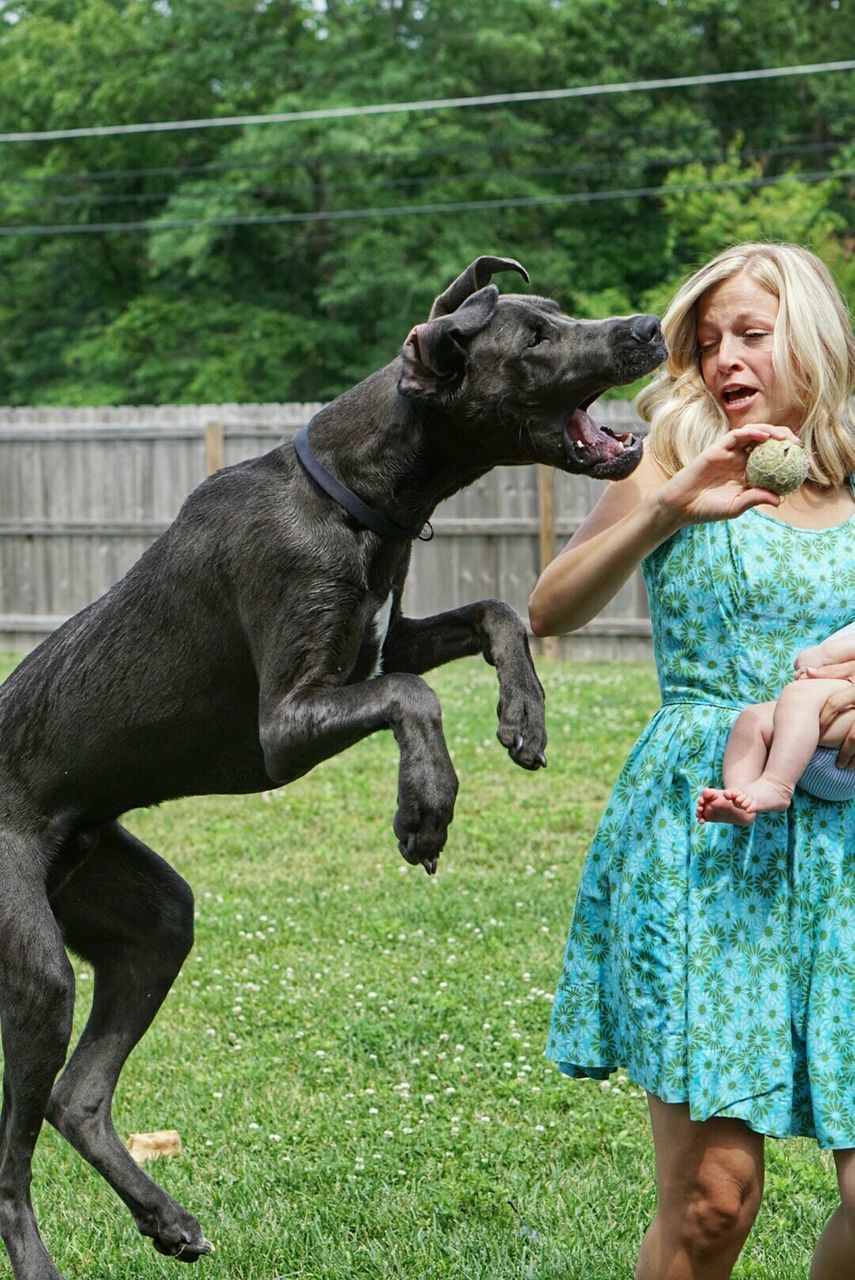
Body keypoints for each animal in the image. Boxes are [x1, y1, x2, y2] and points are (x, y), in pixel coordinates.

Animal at [0, 254, 665, 1274]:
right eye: (534, 336)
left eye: (554, 311)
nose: (649, 327)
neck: (351, 498)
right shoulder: (288, 722)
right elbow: (416, 698)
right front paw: (424, 810)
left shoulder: (381, 644)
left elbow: (493, 614)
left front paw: (523, 719)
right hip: (37, 975)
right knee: (14, 1161)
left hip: (148, 919)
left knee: (79, 1100)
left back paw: (166, 1218)